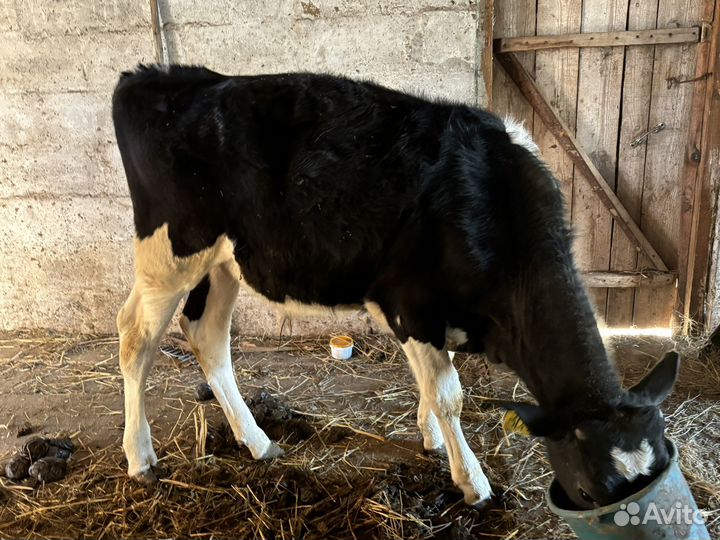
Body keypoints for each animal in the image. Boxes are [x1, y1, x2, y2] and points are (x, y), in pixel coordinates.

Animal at [112, 65, 679, 510]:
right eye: (589, 491)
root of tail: (163, 77)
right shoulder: (414, 303)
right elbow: (449, 394)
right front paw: (472, 481)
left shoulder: (409, 310)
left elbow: (428, 382)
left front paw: (432, 439)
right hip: (171, 249)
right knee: (136, 336)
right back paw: (141, 457)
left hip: (223, 263)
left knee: (206, 335)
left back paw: (257, 442)